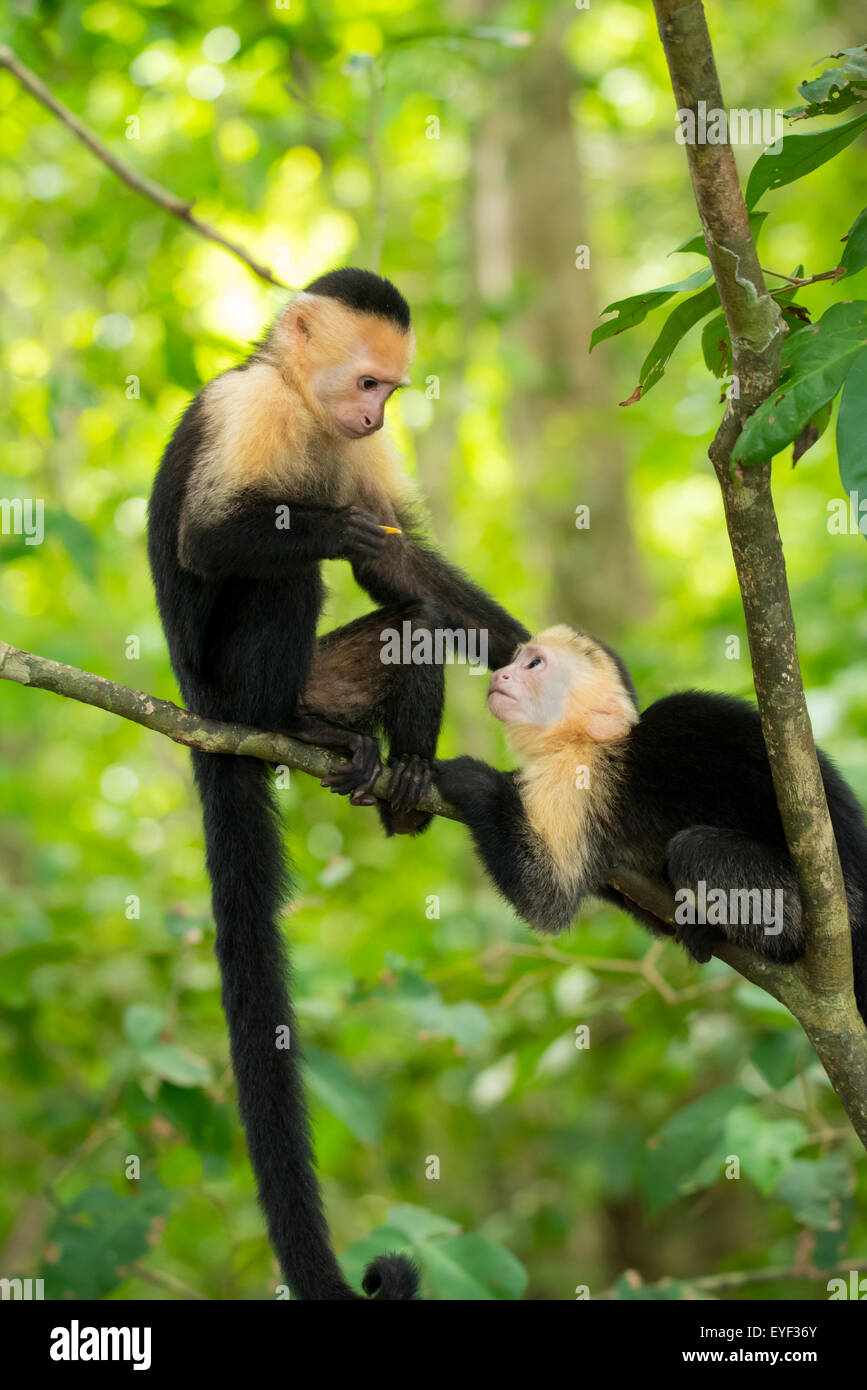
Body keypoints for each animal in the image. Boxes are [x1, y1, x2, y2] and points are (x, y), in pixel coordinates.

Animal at [147, 268, 527, 1301]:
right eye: (366, 382)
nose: (372, 416)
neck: (303, 406)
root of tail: (199, 709)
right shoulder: (246, 409)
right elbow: (212, 541)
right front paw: (330, 526)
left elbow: (400, 564)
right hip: (226, 685)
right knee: (285, 583)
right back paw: (288, 725)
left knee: (418, 621)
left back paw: (402, 778)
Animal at [436, 628, 867, 1023]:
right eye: (516, 661)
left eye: (534, 664)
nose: (501, 674)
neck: (589, 740)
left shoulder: (580, 774)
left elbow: (547, 895)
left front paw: (472, 780)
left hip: (805, 903)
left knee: (696, 850)